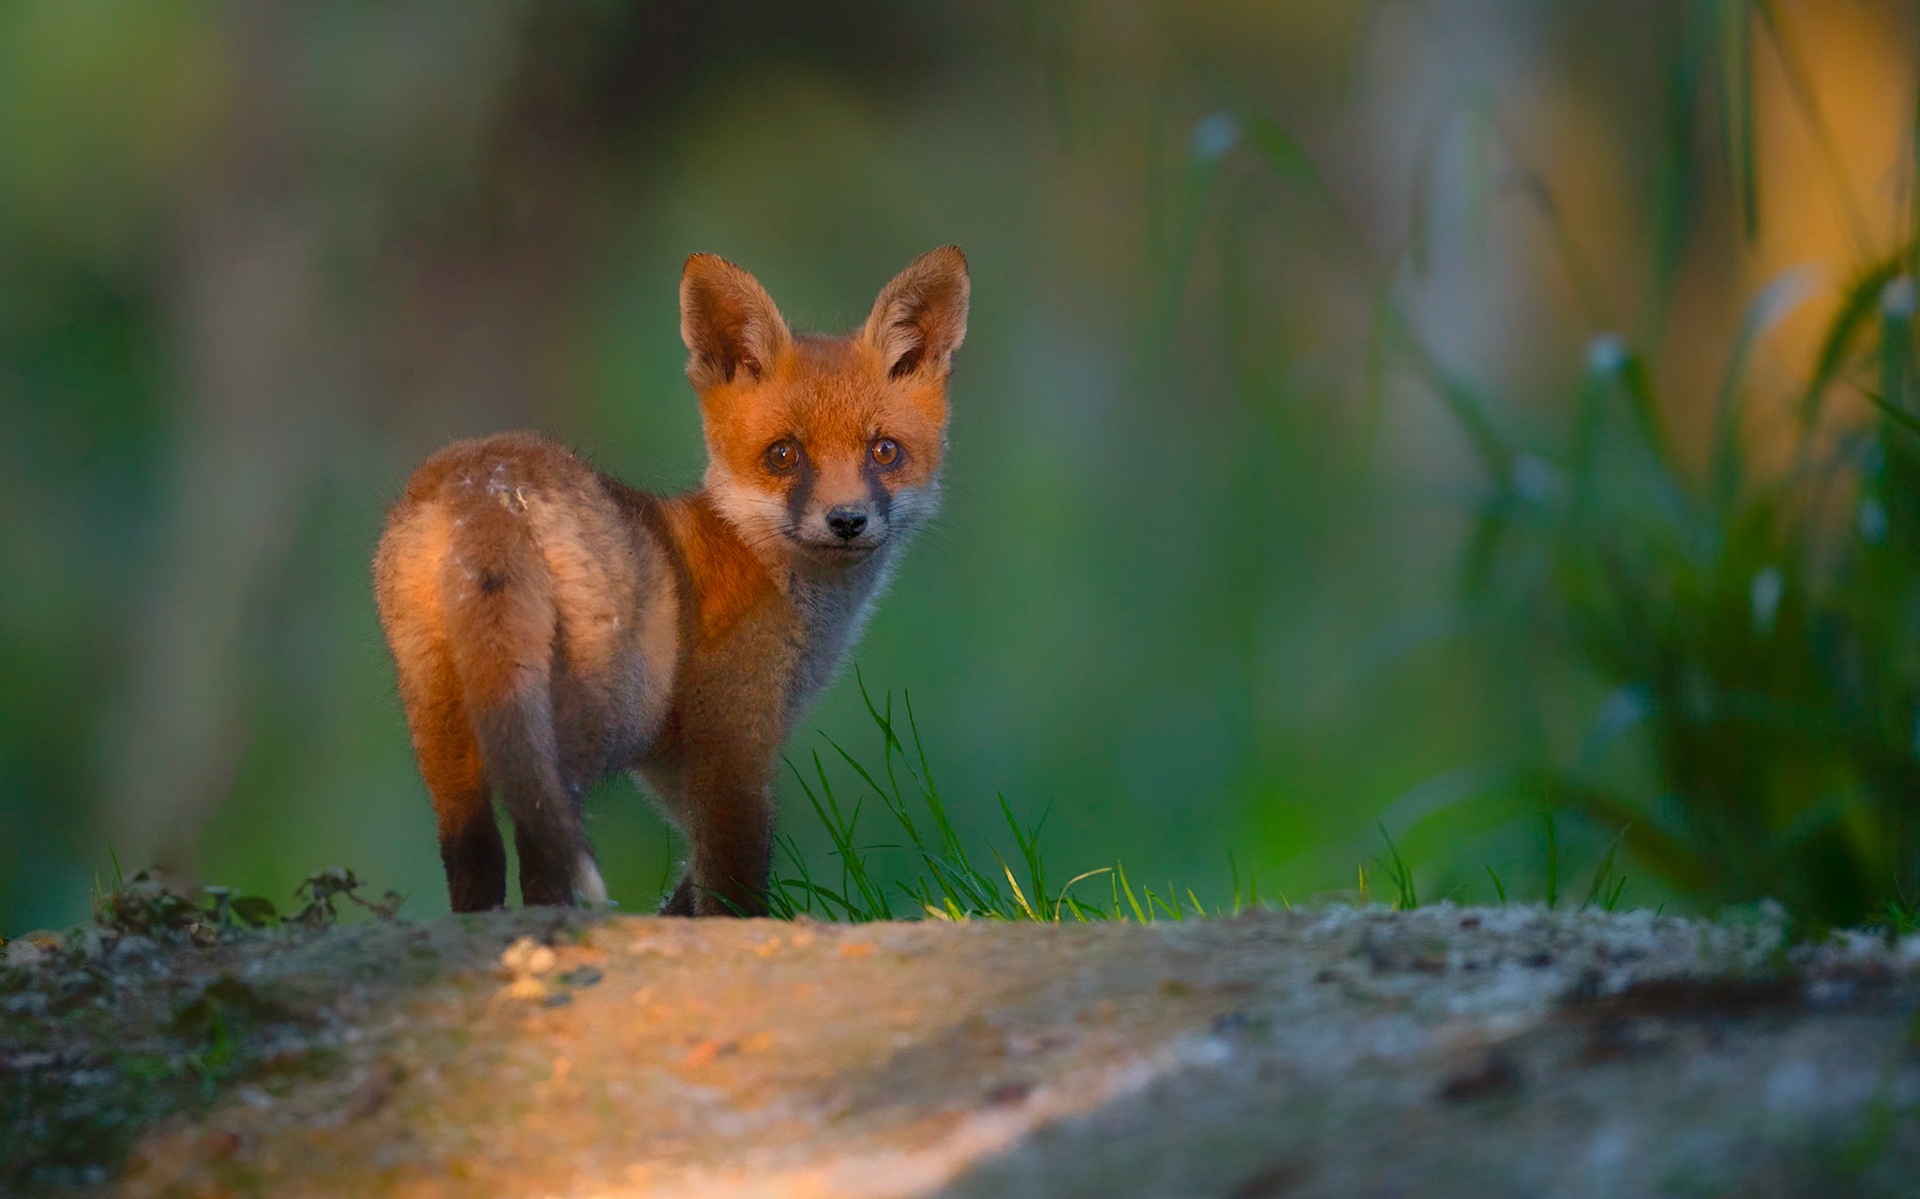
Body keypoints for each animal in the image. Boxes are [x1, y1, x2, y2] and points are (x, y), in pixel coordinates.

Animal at [373, 247, 968, 916]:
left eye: (884, 452)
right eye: (784, 455)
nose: (846, 521)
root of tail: (484, 482)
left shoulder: (672, 767)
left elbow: (689, 879)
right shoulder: (734, 743)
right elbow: (733, 879)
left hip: (441, 719)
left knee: (471, 849)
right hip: (591, 712)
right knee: (544, 834)